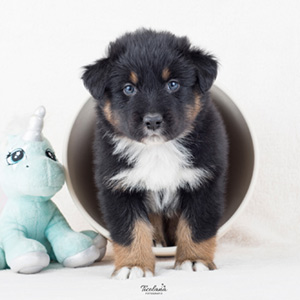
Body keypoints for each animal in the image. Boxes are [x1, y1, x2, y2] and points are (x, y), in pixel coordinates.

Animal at [82, 28, 227, 278]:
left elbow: (196, 227)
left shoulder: (204, 182)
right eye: (129, 88)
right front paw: (134, 265)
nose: (152, 121)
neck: (158, 150)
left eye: (173, 84)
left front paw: (193, 260)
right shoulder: (119, 187)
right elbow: (131, 230)